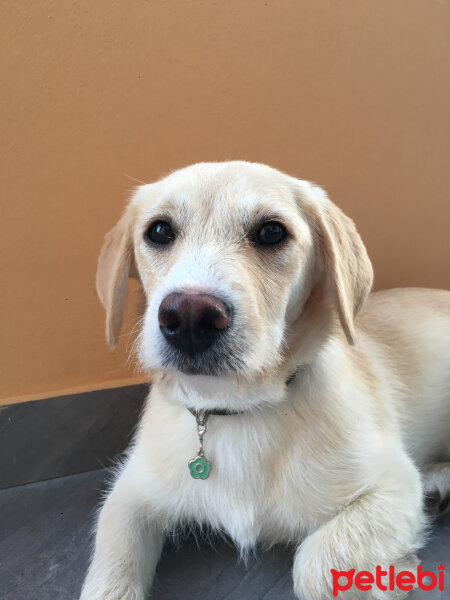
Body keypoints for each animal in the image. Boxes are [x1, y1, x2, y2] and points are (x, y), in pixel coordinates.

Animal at [81, 161, 450, 600]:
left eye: (272, 232)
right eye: (159, 231)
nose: (189, 317)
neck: (239, 412)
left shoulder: (392, 484)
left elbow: (315, 565)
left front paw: (389, 577)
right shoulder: (131, 493)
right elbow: (107, 572)